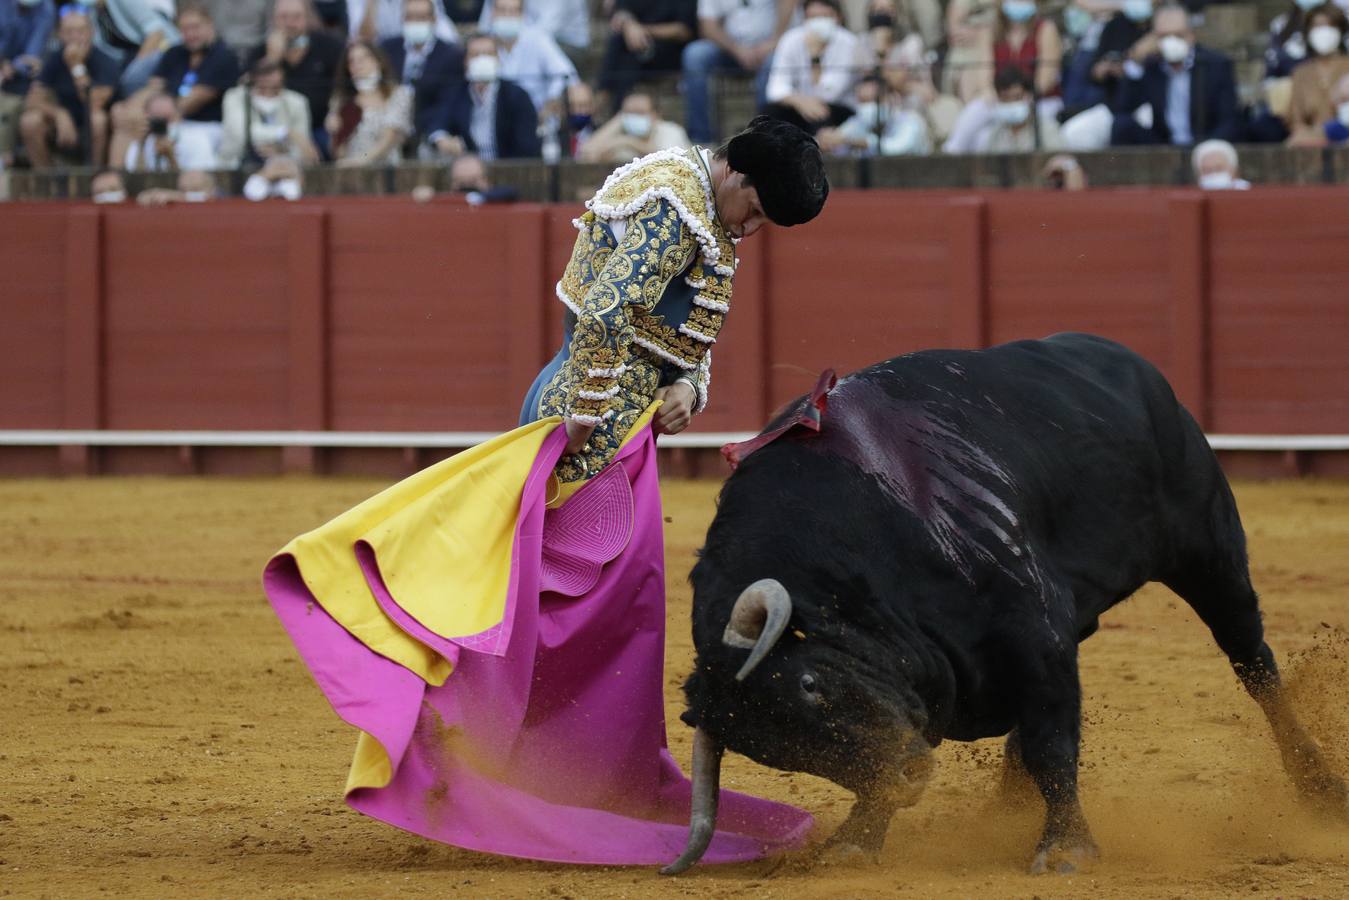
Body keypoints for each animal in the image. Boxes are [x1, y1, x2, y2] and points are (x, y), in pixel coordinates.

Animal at [663, 330, 1349, 874]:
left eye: (809, 685)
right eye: (781, 753)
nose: (907, 777)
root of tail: (1132, 364)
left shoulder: (1034, 631)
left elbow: (1053, 742)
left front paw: (1065, 848)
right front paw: (855, 842)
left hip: (1210, 552)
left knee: (1254, 663)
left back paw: (1320, 788)